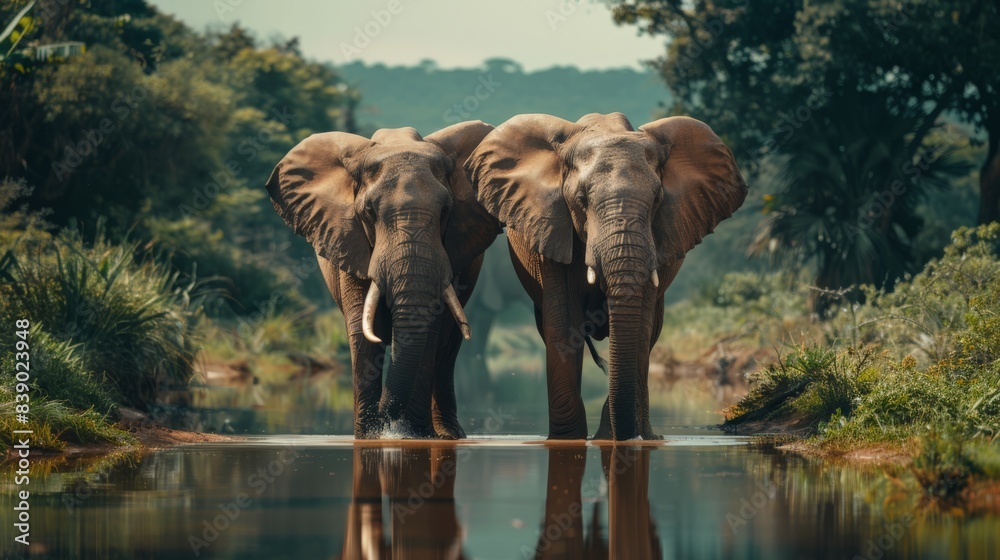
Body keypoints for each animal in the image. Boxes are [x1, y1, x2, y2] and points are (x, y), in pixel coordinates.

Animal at [266, 121, 501, 439]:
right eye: (369, 212)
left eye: (445, 212)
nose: (384, 419)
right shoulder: (348, 241)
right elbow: (362, 329)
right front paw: (369, 436)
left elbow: (429, 328)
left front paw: (413, 435)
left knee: (447, 350)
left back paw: (449, 435)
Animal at [467, 113, 747, 440]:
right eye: (581, 199)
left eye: (657, 199)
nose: (627, 436)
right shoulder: (551, 231)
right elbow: (563, 326)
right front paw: (568, 440)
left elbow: (640, 331)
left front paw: (616, 438)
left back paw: (643, 435)